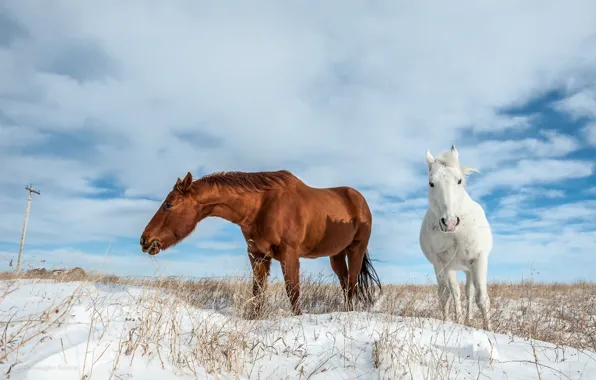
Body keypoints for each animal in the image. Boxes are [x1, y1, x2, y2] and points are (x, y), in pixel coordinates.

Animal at [140, 171, 380, 316]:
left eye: (168, 205)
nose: (144, 240)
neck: (262, 206)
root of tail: (359, 200)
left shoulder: (289, 255)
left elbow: (293, 292)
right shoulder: (257, 256)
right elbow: (257, 293)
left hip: (356, 250)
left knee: (352, 284)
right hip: (336, 254)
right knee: (345, 283)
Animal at [420, 145, 494, 330]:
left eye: (459, 181)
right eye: (431, 183)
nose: (450, 222)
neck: (456, 232)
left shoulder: (479, 259)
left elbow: (482, 299)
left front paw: (489, 330)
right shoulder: (440, 263)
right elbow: (445, 295)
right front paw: (447, 322)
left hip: (468, 268)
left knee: (469, 292)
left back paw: (467, 319)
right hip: (451, 268)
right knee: (456, 292)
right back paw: (460, 320)